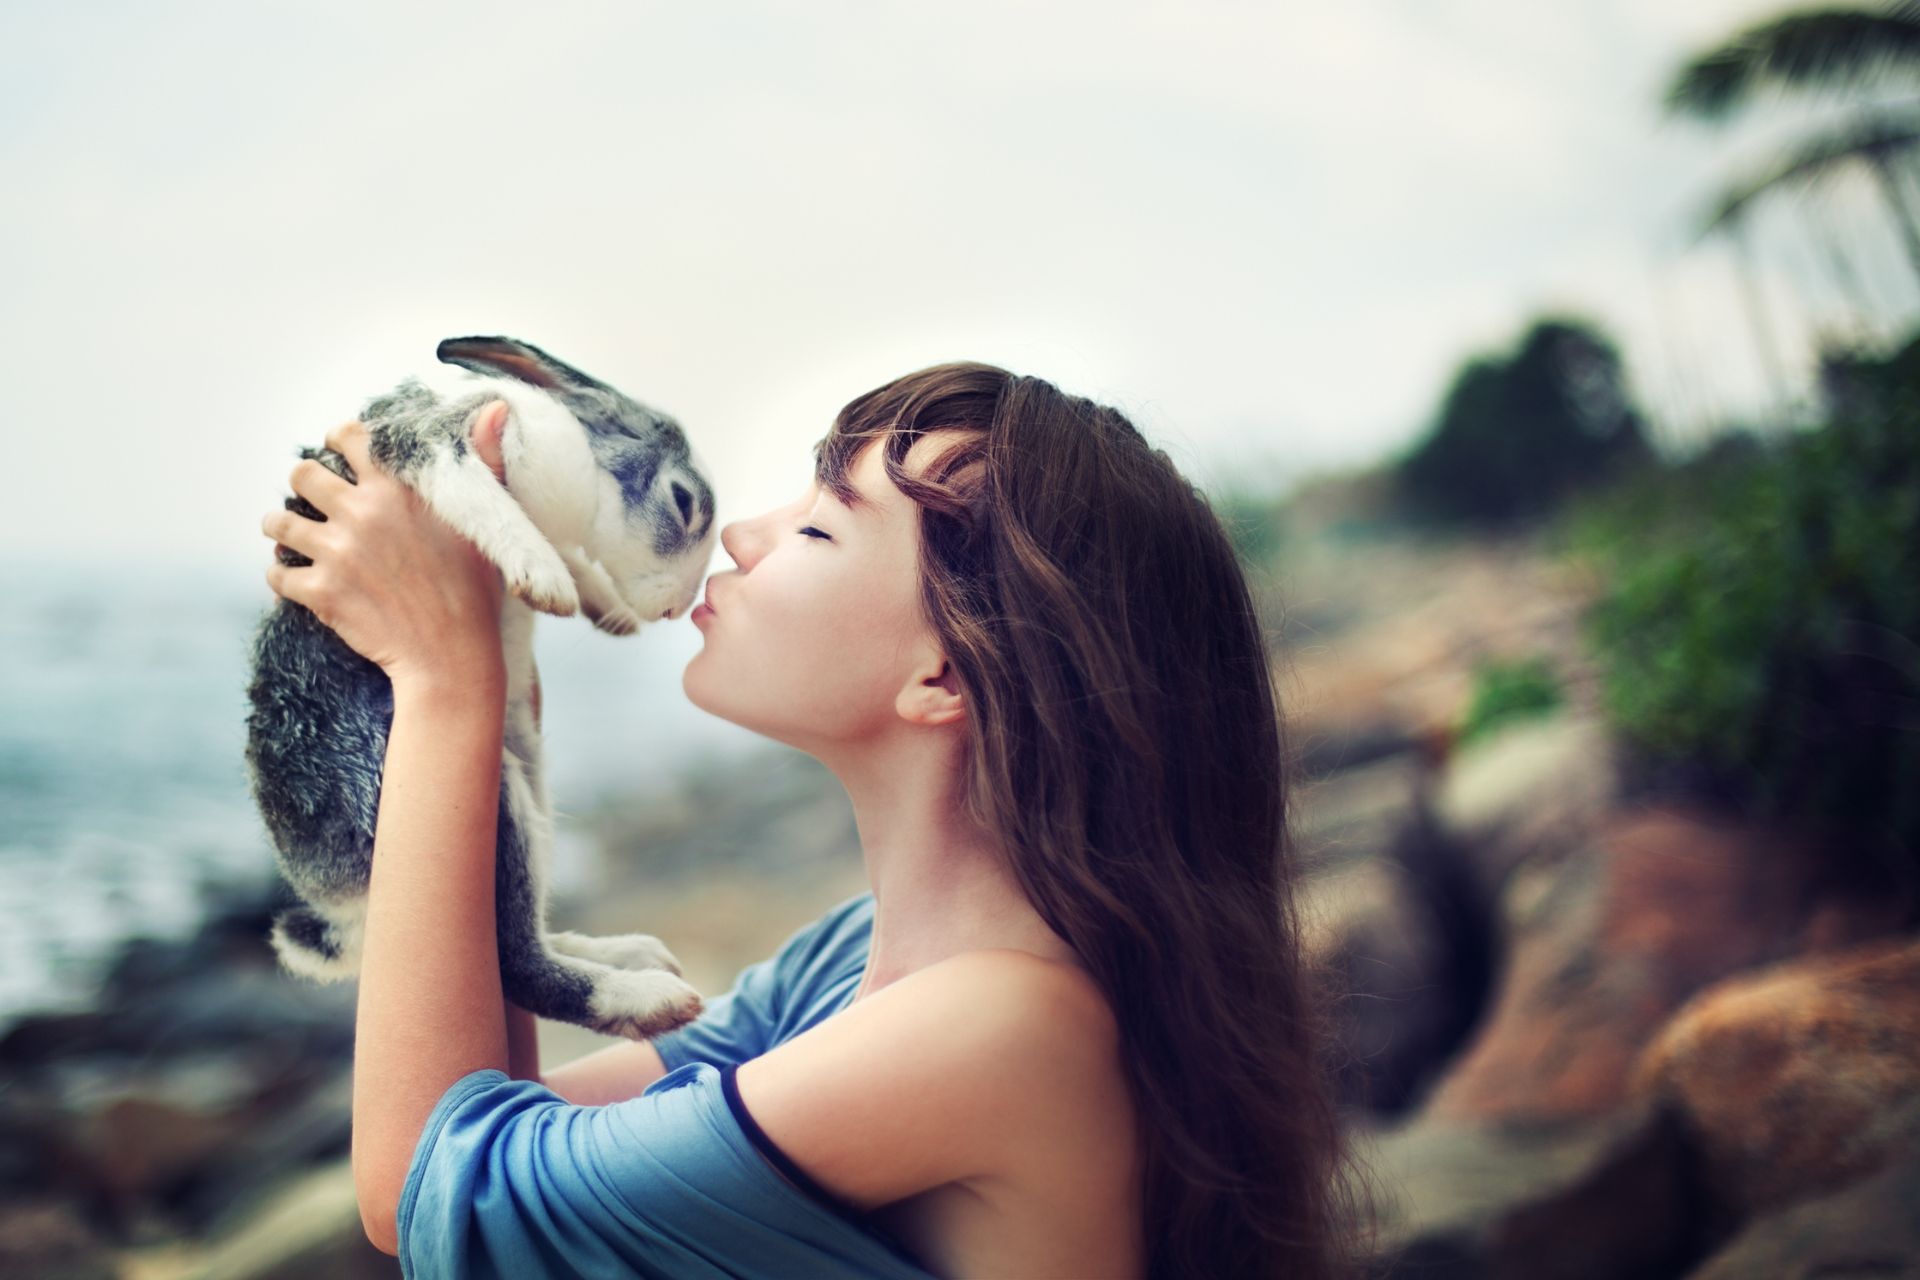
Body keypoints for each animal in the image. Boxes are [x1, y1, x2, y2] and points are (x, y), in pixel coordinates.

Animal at [243, 337, 718, 1043]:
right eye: (683, 501)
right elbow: (478, 494)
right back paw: (644, 996)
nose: (673, 610)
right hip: (493, 804)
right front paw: (544, 577)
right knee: (517, 966)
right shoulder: (428, 442)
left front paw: (602, 608)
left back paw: (629, 953)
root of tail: (333, 897)